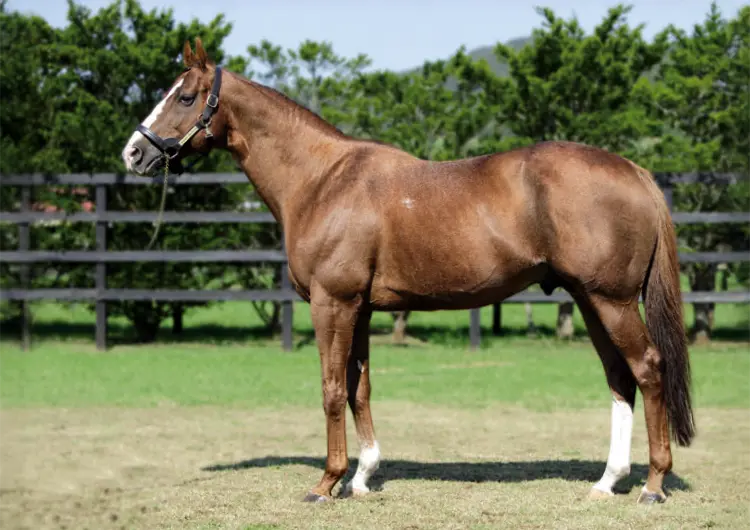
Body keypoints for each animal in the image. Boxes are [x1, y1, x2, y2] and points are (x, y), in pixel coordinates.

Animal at [121, 39, 695, 505]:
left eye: (186, 97)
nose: (134, 152)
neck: (323, 180)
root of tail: (634, 171)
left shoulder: (333, 304)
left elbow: (332, 388)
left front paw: (326, 483)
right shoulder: (360, 308)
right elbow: (360, 388)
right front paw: (362, 476)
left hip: (611, 301)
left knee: (648, 368)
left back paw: (652, 484)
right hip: (590, 300)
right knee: (619, 377)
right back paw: (607, 481)